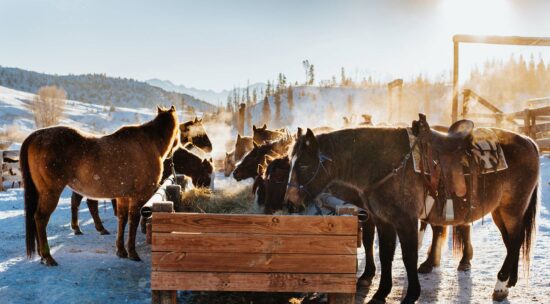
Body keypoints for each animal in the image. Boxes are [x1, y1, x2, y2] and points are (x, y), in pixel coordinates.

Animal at [21, 107, 181, 266]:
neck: (148, 143)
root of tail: (36, 135)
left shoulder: (122, 197)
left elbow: (122, 220)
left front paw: (121, 250)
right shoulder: (138, 197)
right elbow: (133, 222)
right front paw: (132, 252)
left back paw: (43, 255)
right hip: (50, 193)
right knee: (41, 218)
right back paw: (47, 257)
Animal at [286, 121, 540, 304]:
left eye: (305, 164)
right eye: (290, 162)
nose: (290, 203)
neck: (384, 165)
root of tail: (530, 142)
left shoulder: (405, 221)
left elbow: (408, 256)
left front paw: (411, 294)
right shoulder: (382, 220)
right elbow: (386, 254)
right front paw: (380, 293)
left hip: (513, 208)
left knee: (514, 240)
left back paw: (500, 285)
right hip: (500, 211)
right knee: (512, 241)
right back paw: (509, 281)